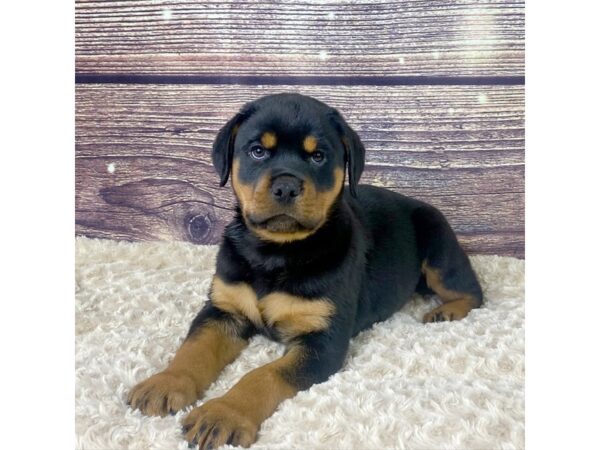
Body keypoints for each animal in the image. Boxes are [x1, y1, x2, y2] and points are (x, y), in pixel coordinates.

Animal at [126, 93, 482, 448]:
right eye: (258, 151)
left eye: (318, 156)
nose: (286, 186)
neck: (277, 251)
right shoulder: (223, 310)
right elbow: (194, 349)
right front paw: (165, 383)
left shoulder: (322, 340)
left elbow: (263, 374)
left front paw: (223, 413)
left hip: (439, 249)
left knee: (474, 292)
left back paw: (445, 312)